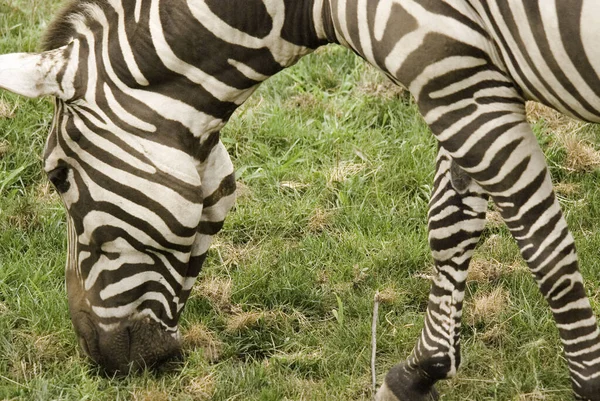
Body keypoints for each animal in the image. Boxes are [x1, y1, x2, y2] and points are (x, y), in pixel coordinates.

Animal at [0, 0, 596, 398]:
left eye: (57, 176)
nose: (96, 360)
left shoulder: (449, 67)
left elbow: (544, 247)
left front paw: (587, 384)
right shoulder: (460, 74)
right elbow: (451, 224)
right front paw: (421, 370)